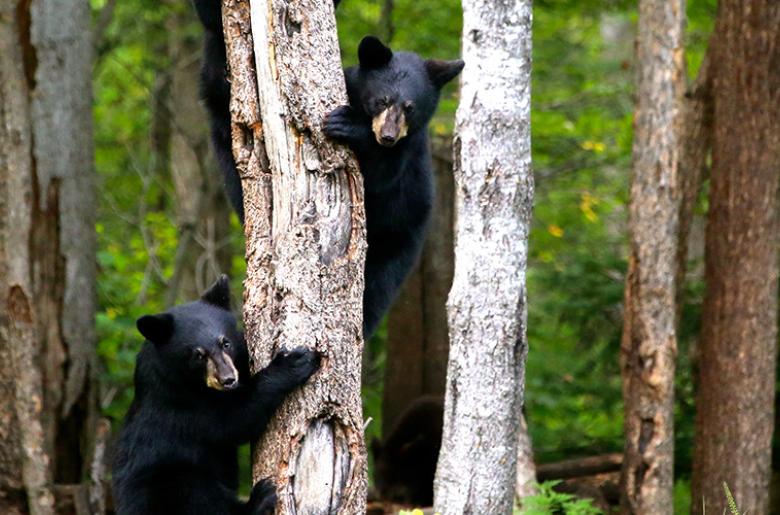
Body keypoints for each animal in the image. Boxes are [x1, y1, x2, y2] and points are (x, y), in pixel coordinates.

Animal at [112, 275, 320, 515]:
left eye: (225, 343)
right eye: (198, 355)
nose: (228, 379)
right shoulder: (180, 404)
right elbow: (233, 420)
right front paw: (294, 362)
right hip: (166, 483)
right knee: (198, 495)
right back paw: (259, 499)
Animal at [192, 0, 463, 337]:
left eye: (410, 108)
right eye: (382, 99)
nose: (387, 136)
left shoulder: (407, 152)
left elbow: (380, 175)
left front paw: (348, 126)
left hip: (399, 238)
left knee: (377, 289)